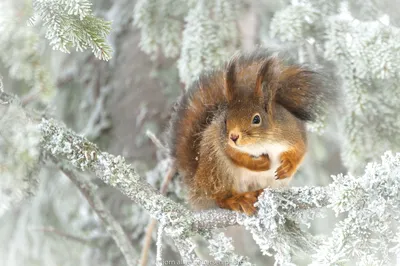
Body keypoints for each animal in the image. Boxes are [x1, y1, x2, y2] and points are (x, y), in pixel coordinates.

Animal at [167, 50, 332, 216]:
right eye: (225, 120)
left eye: (256, 119)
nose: (233, 137)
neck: (261, 143)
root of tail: (197, 186)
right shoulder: (223, 143)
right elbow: (235, 155)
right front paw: (261, 163)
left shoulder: (293, 133)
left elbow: (299, 151)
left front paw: (287, 167)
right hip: (217, 169)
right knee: (220, 197)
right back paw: (237, 200)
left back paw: (258, 193)